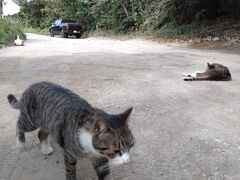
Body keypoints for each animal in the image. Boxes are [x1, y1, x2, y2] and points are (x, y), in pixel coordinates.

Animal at [7, 82, 135, 180]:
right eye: (116, 150)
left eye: (130, 146)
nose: (127, 162)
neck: (91, 148)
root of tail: (32, 86)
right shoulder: (69, 153)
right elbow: (70, 171)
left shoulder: (100, 159)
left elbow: (105, 175)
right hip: (30, 121)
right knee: (19, 124)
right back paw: (20, 143)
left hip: (48, 123)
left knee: (41, 133)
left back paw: (46, 149)